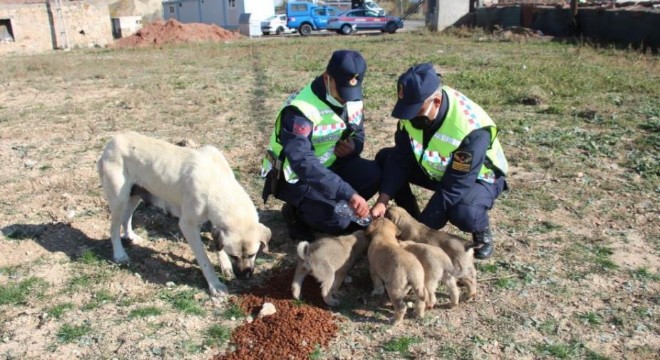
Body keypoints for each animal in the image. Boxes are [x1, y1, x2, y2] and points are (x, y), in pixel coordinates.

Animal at [97, 131, 270, 296]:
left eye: (253, 254)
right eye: (234, 256)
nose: (244, 276)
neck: (217, 182)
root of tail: (111, 143)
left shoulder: (215, 221)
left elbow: (218, 244)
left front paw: (225, 265)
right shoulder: (188, 226)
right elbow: (204, 260)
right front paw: (215, 285)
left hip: (135, 195)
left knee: (126, 218)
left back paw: (131, 236)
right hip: (119, 199)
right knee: (113, 229)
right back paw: (120, 255)